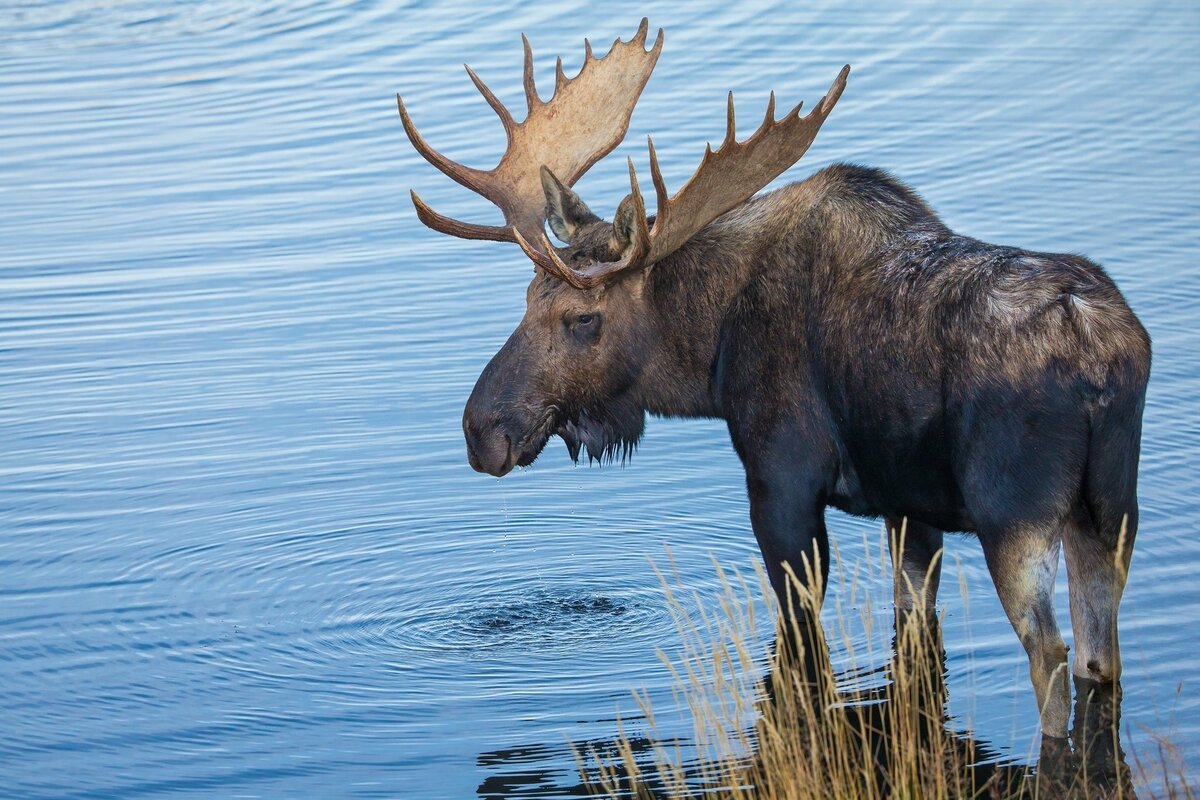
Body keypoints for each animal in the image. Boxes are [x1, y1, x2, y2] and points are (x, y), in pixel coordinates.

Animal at [396, 20, 1152, 738]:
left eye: (582, 318)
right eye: (526, 297)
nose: (482, 429)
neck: (709, 354)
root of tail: (1100, 359)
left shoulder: (782, 480)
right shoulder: (907, 506)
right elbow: (912, 625)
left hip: (1014, 515)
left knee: (1051, 655)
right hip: (1110, 508)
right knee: (1099, 656)